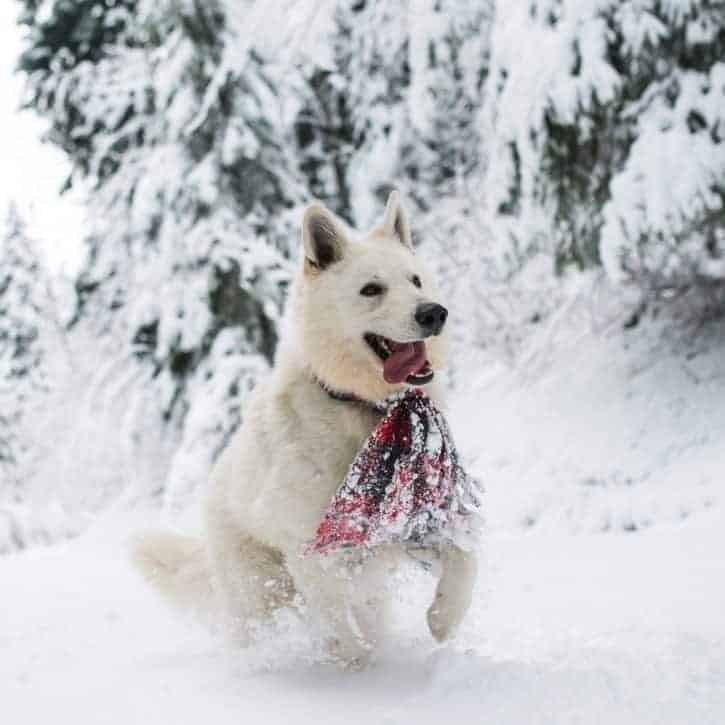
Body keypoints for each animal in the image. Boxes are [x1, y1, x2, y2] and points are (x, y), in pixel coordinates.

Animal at [133, 189, 478, 664]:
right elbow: (338, 626)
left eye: (416, 281)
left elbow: (464, 561)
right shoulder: (311, 547)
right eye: (371, 289)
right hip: (260, 592)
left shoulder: (414, 519)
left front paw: (443, 621)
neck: (367, 408)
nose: (434, 313)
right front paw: (356, 663)